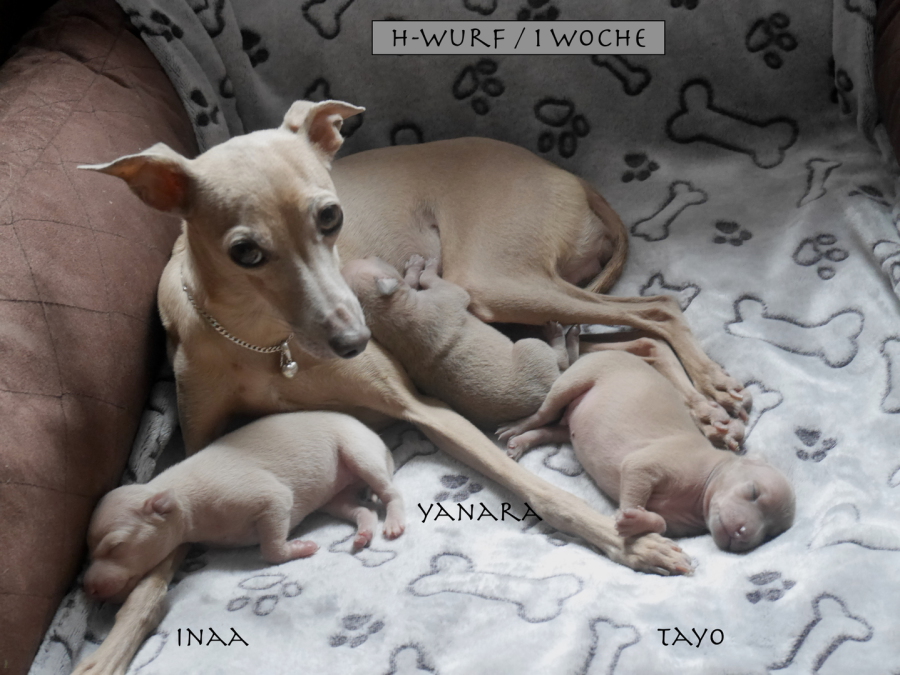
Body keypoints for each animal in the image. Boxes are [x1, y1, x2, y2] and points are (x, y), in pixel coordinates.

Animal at [83, 411, 404, 603]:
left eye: (115, 546)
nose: (88, 588)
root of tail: (378, 440)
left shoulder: (271, 498)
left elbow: (271, 548)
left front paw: (301, 548)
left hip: (358, 451)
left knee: (390, 494)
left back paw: (393, 522)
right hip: (335, 500)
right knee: (362, 510)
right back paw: (363, 534)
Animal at [343, 255, 580, 427]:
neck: (385, 313)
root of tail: (545, 397)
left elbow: (414, 282)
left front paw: (414, 267)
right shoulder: (447, 295)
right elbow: (429, 281)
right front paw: (423, 265)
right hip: (532, 348)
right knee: (562, 360)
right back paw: (557, 335)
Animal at [499, 350, 794, 552]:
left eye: (771, 533)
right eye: (753, 492)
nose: (744, 534)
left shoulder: (679, 522)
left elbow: (662, 523)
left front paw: (638, 521)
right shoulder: (646, 464)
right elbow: (635, 483)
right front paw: (626, 520)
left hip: (572, 425)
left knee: (552, 429)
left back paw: (522, 442)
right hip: (575, 380)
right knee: (542, 414)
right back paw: (516, 428)